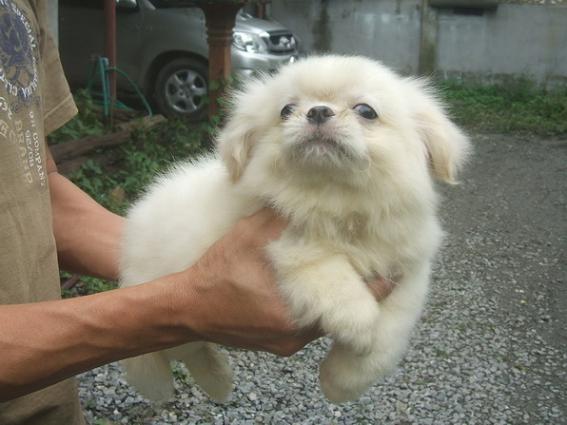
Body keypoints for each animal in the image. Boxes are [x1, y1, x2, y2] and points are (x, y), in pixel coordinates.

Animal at [119, 55, 470, 404]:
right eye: (286, 110)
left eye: (366, 111)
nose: (318, 111)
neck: (334, 201)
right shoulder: (287, 245)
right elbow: (334, 278)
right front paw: (359, 327)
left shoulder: (408, 272)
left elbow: (385, 341)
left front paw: (339, 382)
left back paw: (218, 380)